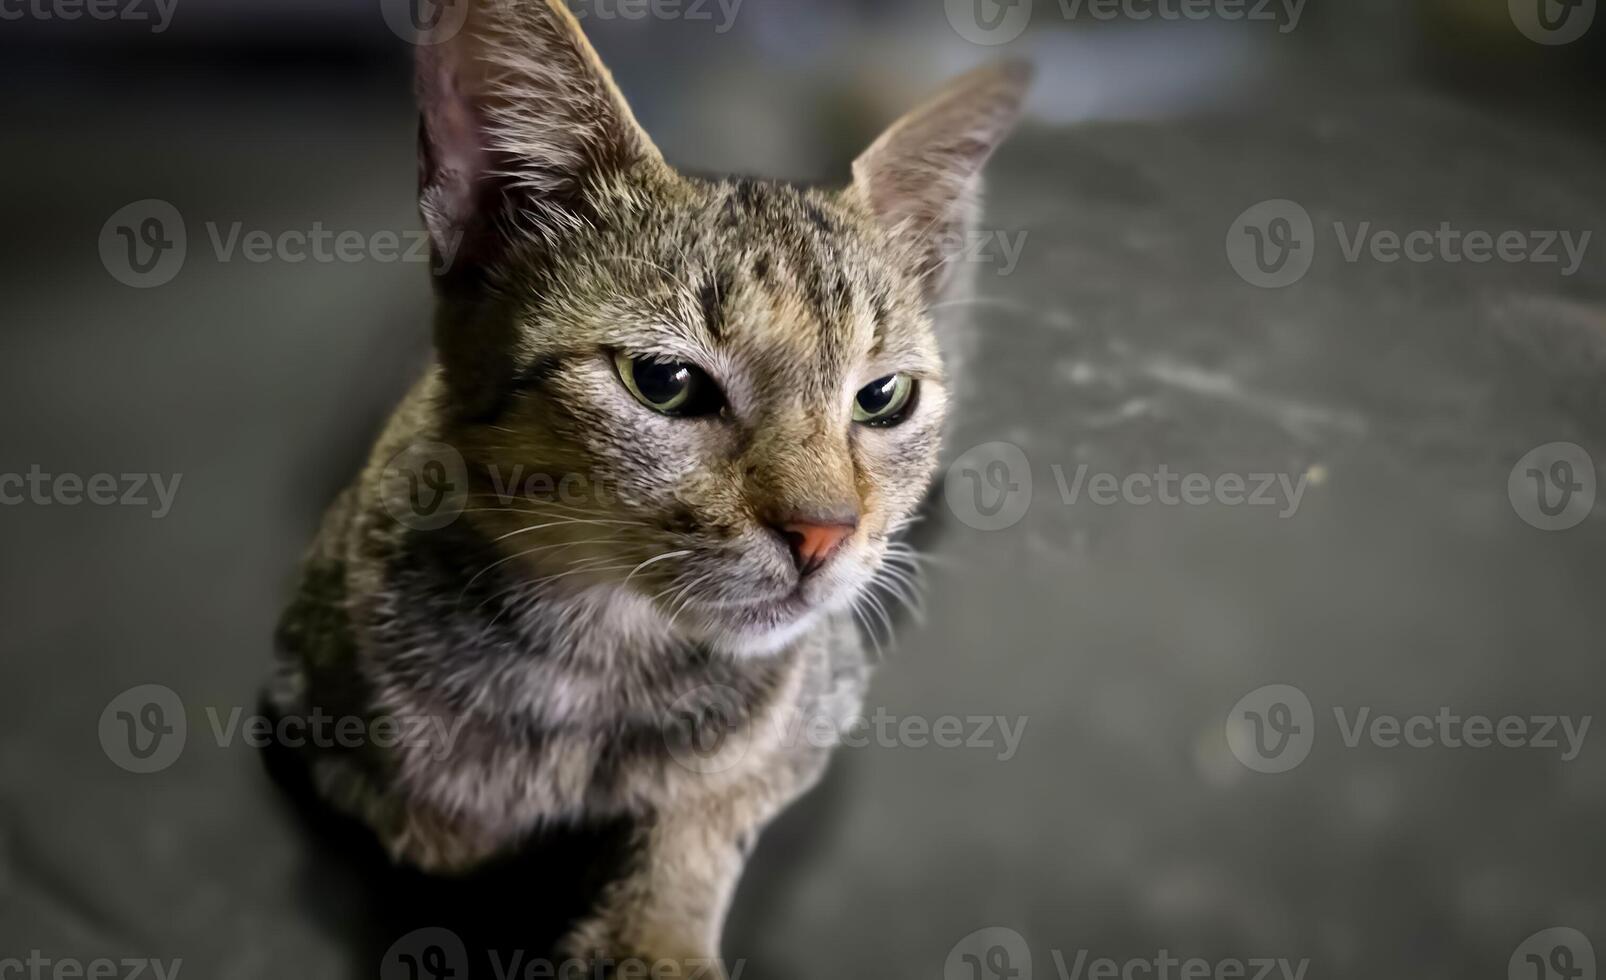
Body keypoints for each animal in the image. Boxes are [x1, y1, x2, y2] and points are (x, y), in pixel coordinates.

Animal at [269, 1, 1027, 970]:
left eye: (883, 397)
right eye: (663, 382)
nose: (824, 532)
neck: (595, 659)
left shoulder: (817, 705)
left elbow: (709, 803)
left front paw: (653, 931)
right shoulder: (301, 700)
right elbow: (427, 819)